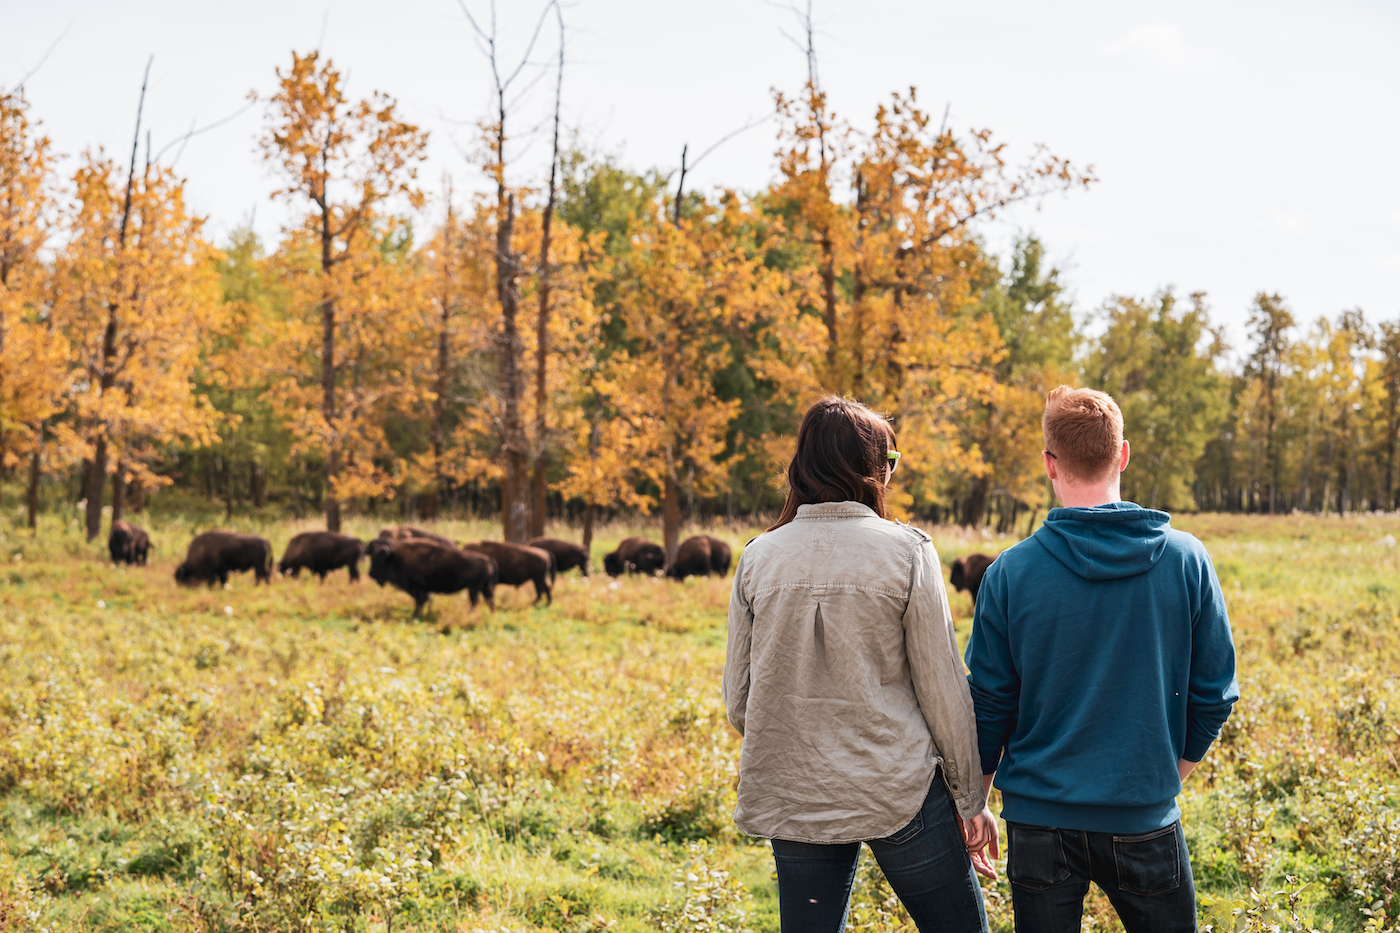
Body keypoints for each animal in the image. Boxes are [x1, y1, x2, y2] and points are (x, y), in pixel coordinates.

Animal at [366, 537, 498, 616]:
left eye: (379, 561)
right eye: (372, 558)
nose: (370, 574)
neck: (396, 559)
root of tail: (487, 559)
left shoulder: (417, 588)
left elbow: (420, 601)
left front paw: (416, 614)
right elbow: (422, 600)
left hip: (473, 589)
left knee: (475, 602)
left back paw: (470, 614)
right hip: (485, 588)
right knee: (489, 601)